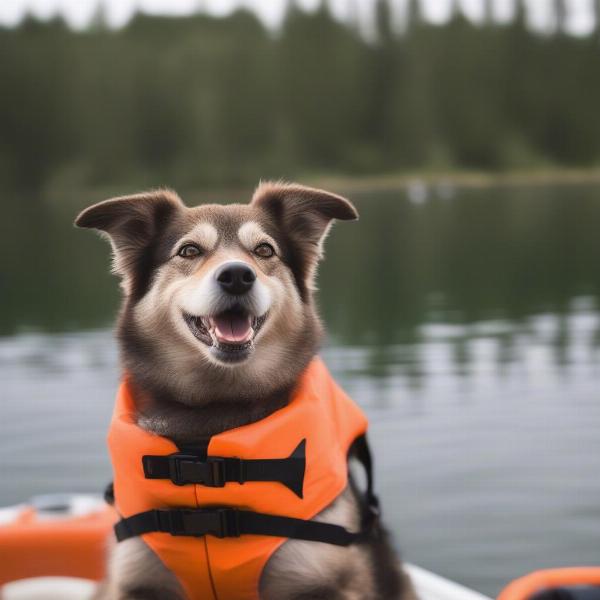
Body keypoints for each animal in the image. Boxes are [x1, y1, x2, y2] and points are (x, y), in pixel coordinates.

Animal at [75, 183, 414, 600]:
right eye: (189, 251)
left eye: (264, 250)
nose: (237, 275)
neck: (212, 414)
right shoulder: (135, 582)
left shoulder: (327, 580)